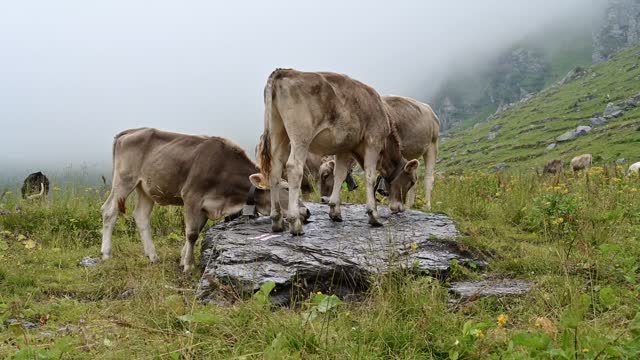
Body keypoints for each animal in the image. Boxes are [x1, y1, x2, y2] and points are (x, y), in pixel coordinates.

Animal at [100, 128, 310, 272]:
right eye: (286, 188)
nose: (307, 211)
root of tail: (130, 131)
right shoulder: (191, 196)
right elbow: (192, 234)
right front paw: (188, 265)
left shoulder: (206, 206)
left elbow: (194, 232)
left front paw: (183, 258)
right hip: (124, 180)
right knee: (109, 211)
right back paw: (106, 254)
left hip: (145, 188)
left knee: (141, 217)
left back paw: (153, 256)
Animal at [258, 68, 418, 235]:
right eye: (412, 181)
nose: (400, 208)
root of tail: (283, 71)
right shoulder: (373, 140)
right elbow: (370, 176)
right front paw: (373, 215)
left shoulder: (344, 147)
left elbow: (339, 174)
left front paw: (335, 210)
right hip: (301, 135)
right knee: (294, 167)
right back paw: (295, 222)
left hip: (278, 130)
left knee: (275, 168)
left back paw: (277, 221)